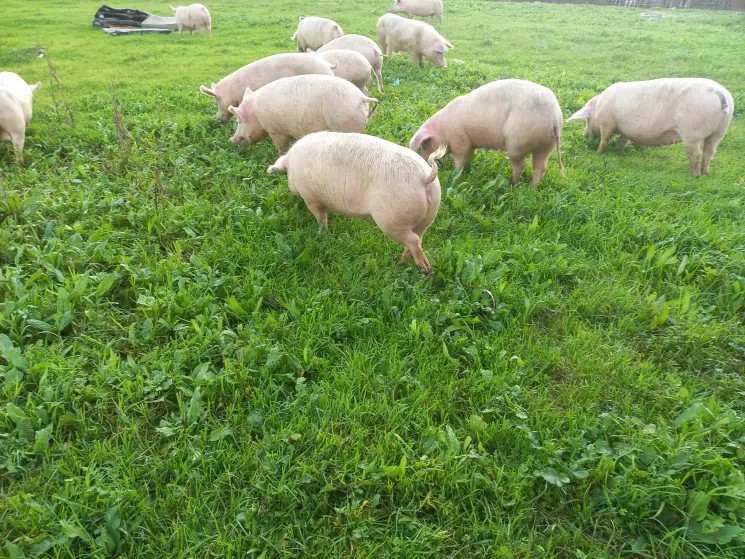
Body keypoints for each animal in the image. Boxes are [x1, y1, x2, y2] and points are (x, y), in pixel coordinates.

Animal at [227, 74, 378, 154]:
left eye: (239, 121)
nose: (232, 140)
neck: (256, 113)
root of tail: (361, 98)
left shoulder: (275, 130)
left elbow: (282, 147)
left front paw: (279, 155)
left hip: (345, 122)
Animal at [268, 130, 444, 274]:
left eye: (287, 174)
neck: (292, 163)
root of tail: (425, 177)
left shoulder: (311, 197)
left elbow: (321, 217)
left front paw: (325, 232)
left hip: (391, 219)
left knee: (413, 240)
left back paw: (425, 269)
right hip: (429, 214)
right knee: (419, 238)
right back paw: (402, 264)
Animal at [406, 79, 564, 188]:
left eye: (425, 144)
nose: (422, 160)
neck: (443, 129)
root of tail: (554, 118)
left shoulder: (460, 141)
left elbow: (459, 160)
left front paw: (455, 174)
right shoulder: (470, 143)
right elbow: (469, 156)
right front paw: (467, 170)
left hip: (517, 143)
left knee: (521, 165)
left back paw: (512, 183)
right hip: (546, 146)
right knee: (540, 168)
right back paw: (532, 188)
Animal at [564, 77, 732, 176]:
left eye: (587, 120)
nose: (584, 134)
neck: (599, 106)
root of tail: (720, 94)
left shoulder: (607, 123)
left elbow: (605, 139)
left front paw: (599, 152)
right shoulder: (627, 130)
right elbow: (623, 140)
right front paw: (619, 152)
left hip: (692, 132)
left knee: (696, 154)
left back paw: (694, 175)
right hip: (720, 131)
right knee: (709, 152)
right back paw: (705, 173)